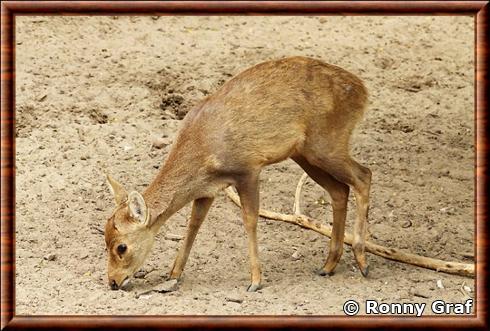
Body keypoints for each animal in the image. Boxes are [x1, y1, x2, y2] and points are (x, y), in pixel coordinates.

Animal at [104, 57, 372, 294]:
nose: (113, 282)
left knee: (363, 175)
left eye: (121, 247)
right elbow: (194, 224)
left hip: (327, 143)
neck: (203, 151)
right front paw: (174, 274)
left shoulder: (248, 169)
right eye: (105, 239)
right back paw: (328, 265)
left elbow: (250, 220)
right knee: (340, 190)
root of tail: (363, 91)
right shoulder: (207, 190)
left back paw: (362, 261)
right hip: (305, 153)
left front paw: (255, 281)